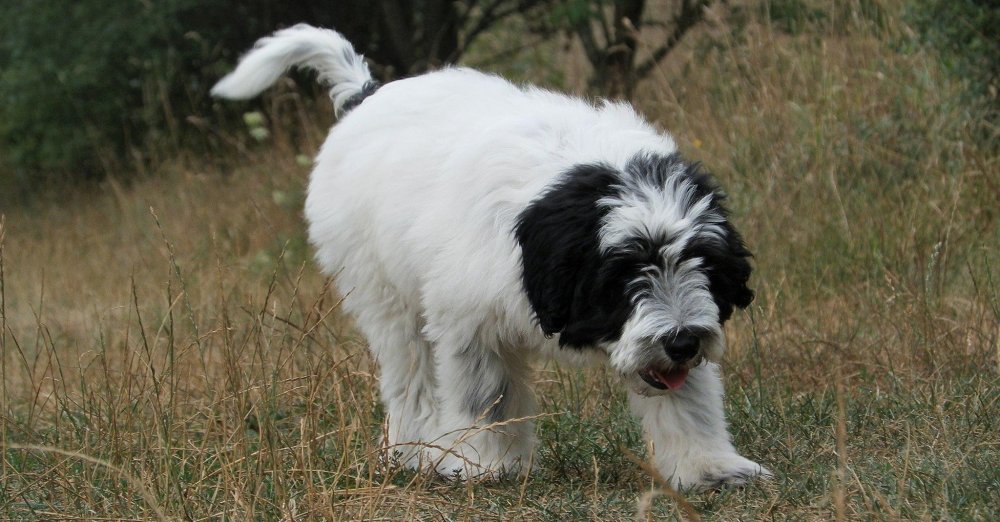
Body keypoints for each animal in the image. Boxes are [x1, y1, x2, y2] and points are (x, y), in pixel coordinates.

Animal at [213, 23, 772, 488]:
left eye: (703, 263)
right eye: (624, 274)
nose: (682, 341)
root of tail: (365, 95)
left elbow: (688, 400)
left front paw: (708, 467)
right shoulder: (469, 323)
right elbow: (488, 398)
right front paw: (489, 466)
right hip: (381, 290)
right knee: (409, 373)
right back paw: (418, 451)